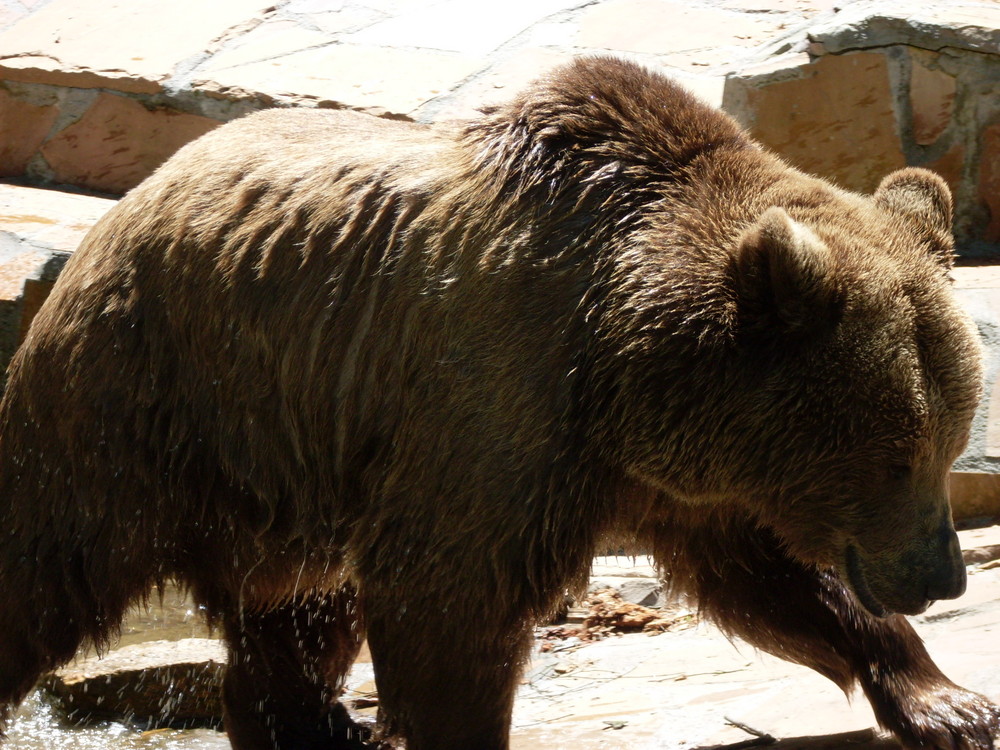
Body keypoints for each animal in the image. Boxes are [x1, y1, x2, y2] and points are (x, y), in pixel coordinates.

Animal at [0, 55, 996, 748]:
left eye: (949, 443)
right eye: (896, 454)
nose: (941, 575)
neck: (621, 373)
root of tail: (140, 193)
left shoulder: (677, 479)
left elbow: (773, 580)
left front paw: (949, 704)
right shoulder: (492, 406)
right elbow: (451, 606)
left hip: (295, 469)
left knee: (296, 610)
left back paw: (314, 723)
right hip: (148, 397)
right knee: (47, 558)